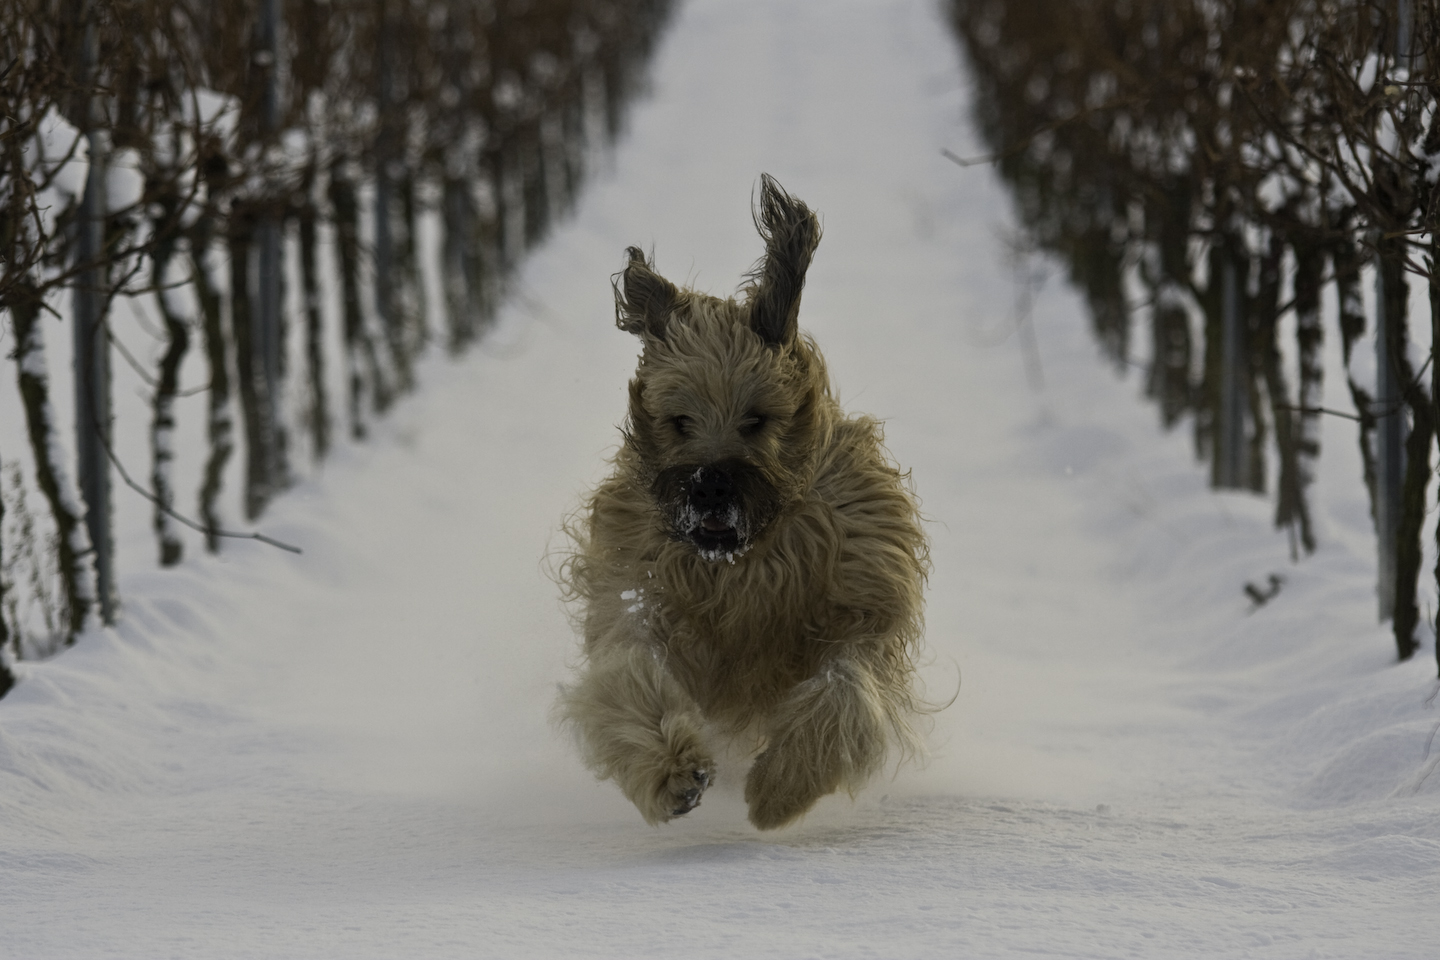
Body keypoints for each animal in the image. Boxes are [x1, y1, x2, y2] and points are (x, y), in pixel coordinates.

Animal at [555, 176, 927, 829]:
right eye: (679, 420)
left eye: (756, 419)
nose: (709, 486)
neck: (741, 565)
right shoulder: (634, 589)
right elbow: (630, 679)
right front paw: (673, 771)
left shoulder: (865, 595)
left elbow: (847, 687)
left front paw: (782, 785)